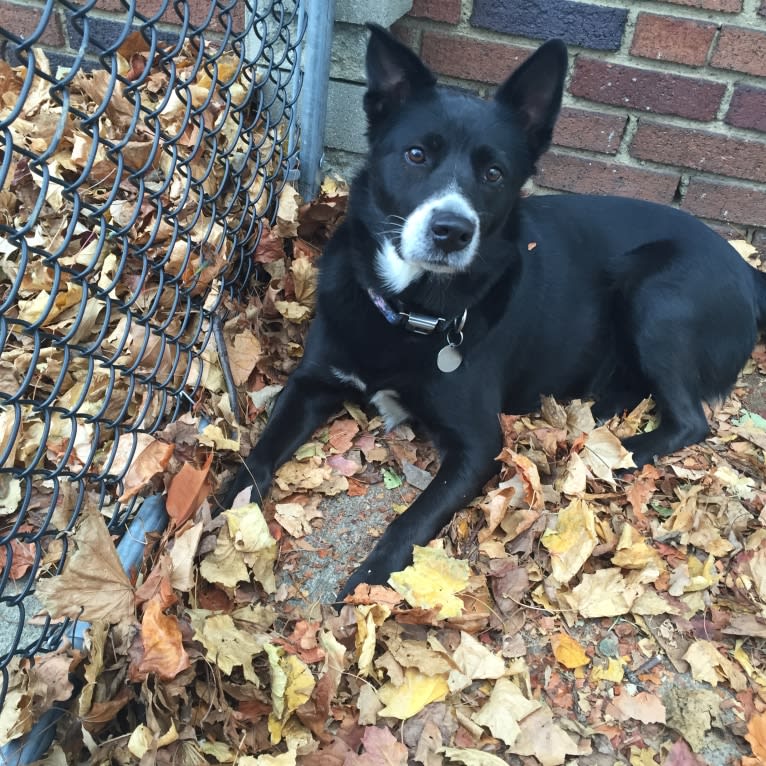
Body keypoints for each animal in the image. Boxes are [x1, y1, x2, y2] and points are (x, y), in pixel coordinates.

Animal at [226, 25, 766, 600]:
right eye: (415, 154)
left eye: (493, 173)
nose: (452, 230)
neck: (414, 312)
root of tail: (746, 268)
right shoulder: (312, 381)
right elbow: (256, 456)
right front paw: (220, 514)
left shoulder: (477, 444)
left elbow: (410, 521)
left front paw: (367, 582)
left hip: (657, 295)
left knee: (690, 421)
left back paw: (617, 452)